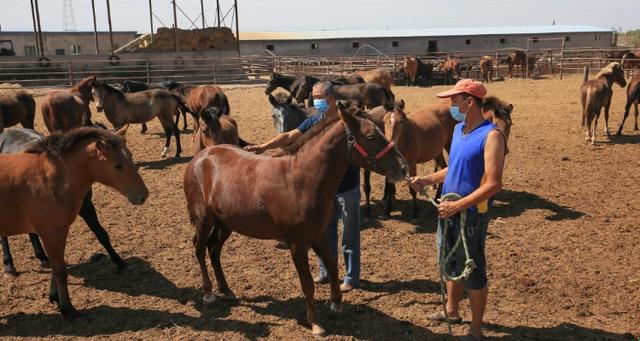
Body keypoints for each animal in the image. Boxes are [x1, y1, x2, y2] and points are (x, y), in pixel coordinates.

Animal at [182, 100, 408, 334]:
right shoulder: (297, 244)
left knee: (214, 250)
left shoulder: (318, 236)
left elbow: (332, 265)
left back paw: (226, 290)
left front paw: (336, 304)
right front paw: (315, 324)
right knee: (199, 247)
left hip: (226, 223)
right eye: (371, 137)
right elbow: (307, 283)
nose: (403, 168)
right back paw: (209, 293)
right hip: (204, 220)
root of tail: (200, 158)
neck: (300, 180)